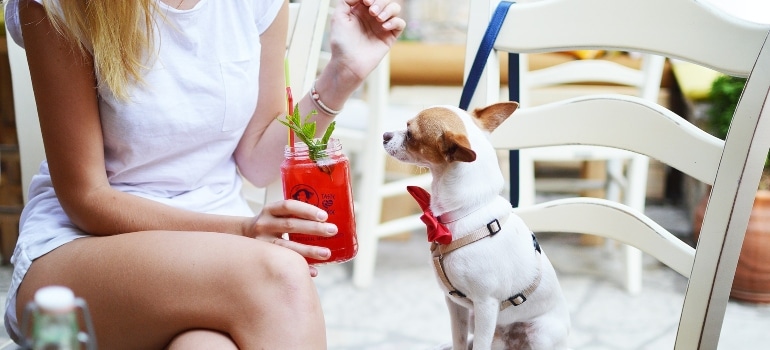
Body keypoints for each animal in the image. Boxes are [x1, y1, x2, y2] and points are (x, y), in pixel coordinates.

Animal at [380, 102, 568, 348]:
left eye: (410, 132)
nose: (384, 135)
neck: (466, 213)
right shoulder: (455, 304)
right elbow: (459, 339)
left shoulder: (486, 305)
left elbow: (479, 345)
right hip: (477, 319)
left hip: (540, 333)